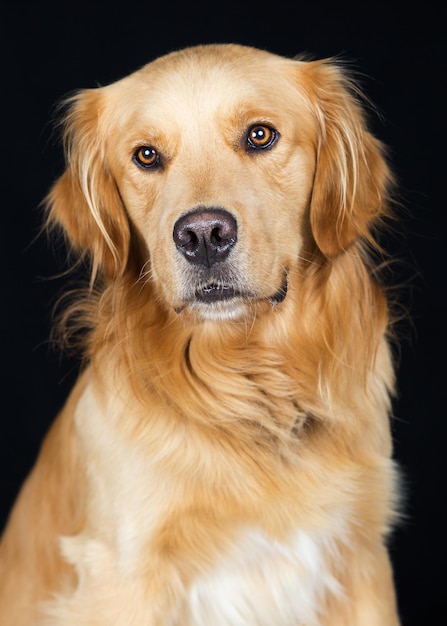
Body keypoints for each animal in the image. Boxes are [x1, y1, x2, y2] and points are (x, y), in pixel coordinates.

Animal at [0, 41, 402, 620]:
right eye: (146, 155)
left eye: (260, 135)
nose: (204, 234)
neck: (246, 383)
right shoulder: (123, 573)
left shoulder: (361, 555)